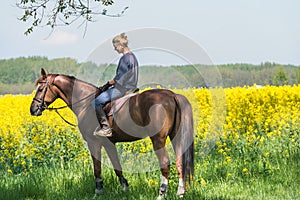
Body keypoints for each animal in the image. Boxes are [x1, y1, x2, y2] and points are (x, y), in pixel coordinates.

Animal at [29, 69, 195, 198]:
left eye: (40, 89)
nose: (33, 109)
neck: (85, 103)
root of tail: (172, 95)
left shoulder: (94, 143)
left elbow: (97, 168)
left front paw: (98, 192)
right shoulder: (109, 143)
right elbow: (117, 166)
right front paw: (125, 187)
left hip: (158, 140)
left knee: (165, 162)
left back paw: (162, 193)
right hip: (175, 137)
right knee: (180, 161)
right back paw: (180, 192)